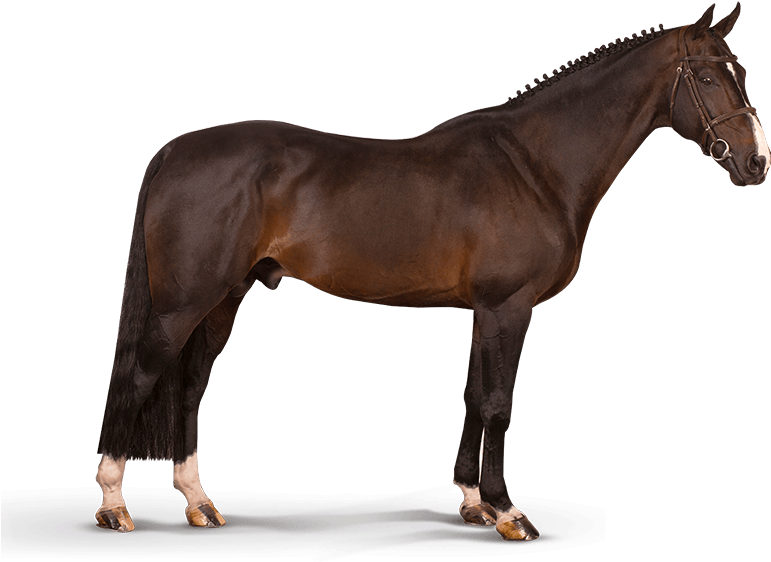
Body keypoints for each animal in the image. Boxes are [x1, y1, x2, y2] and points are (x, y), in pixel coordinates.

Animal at [95, 2, 767, 541]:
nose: (757, 162)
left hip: (223, 300)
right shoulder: (508, 307)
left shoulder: (483, 312)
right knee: (138, 377)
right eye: (709, 76)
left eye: (739, 72)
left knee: (189, 386)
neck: (535, 165)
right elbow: (498, 403)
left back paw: (199, 503)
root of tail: (173, 151)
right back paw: (114, 504)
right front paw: (507, 511)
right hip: (182, 305)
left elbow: (472, 395)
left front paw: (471, 502)